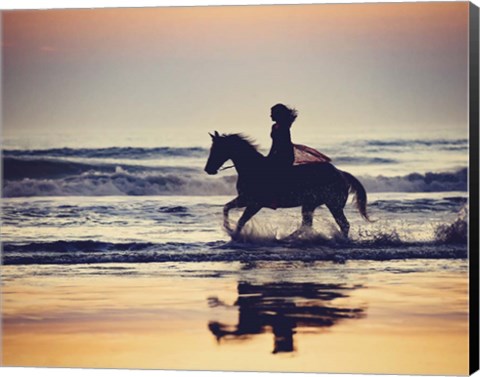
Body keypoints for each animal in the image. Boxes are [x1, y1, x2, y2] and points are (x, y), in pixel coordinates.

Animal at [204, 131, 370, 238]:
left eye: (217, 149)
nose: (208, 169)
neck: (253, 169)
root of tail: (341, 173)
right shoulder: (245, 199)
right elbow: (226, 208)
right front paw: (228, 228)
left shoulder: (254, 203)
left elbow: (241, 220)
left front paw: (234, 234)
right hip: (310, 204)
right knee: (307, 224)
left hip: (332, 205)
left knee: (343, 224)